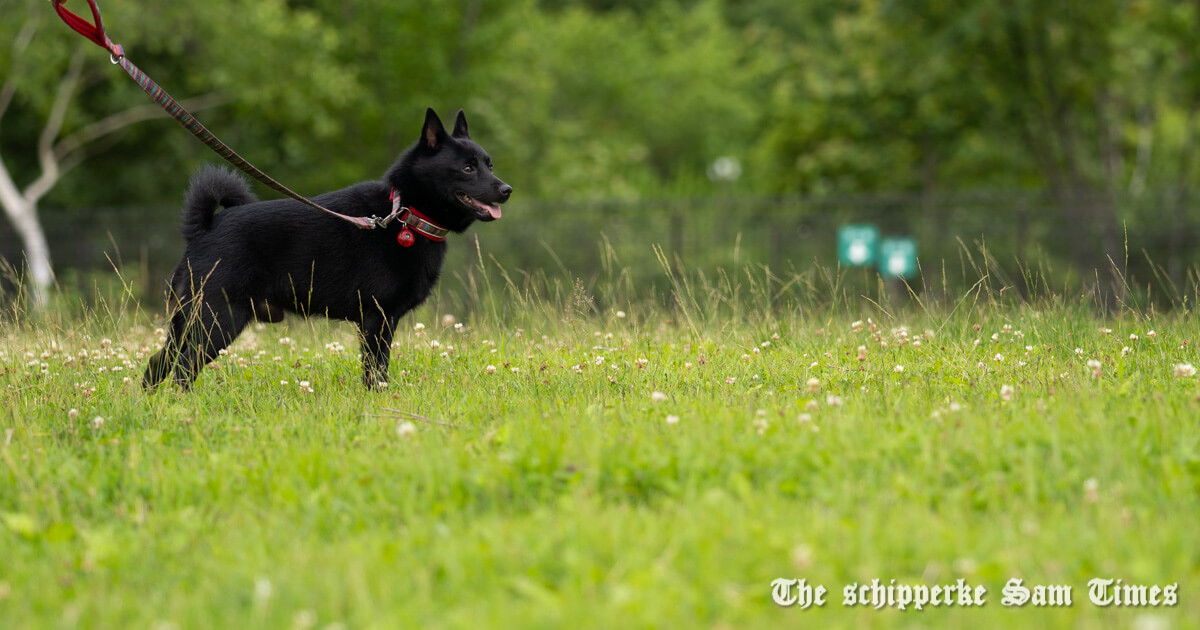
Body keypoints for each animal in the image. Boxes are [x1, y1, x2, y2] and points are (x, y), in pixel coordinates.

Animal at [145, 110, 511, 391]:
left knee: (157, 364)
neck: (405, 213)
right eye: (467, 168)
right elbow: (375, 373)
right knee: (182, 370)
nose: (507, 189)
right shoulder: (377, 319)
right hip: (217, 322)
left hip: (187, 322)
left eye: (490, 165)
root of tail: (206, 227)